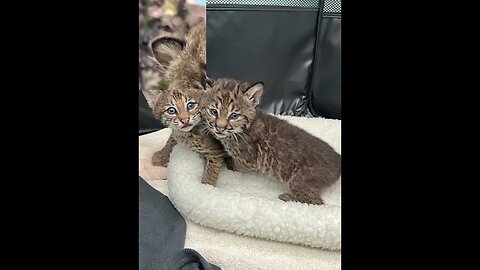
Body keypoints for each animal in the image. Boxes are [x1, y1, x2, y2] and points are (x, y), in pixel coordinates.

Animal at [202, 78, 342, 205]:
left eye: (234, 116)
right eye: (213, 112)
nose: (219, 128)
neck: (240, 130)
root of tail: (337, 157)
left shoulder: (250, 161)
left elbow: (236, 165)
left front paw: (229, 163)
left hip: (299, 181)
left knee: (317, 203)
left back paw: (288, 198)